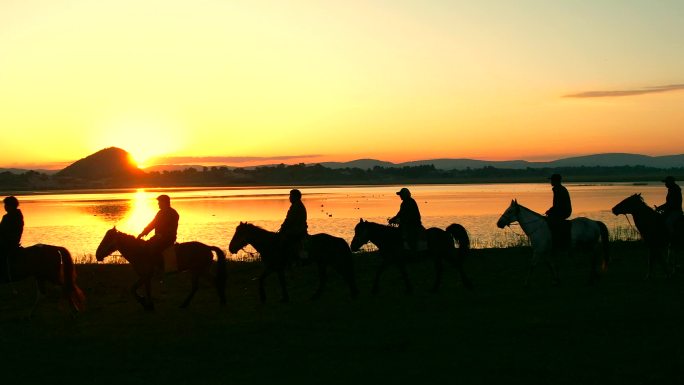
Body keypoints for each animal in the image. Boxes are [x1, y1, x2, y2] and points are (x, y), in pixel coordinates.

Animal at [95, 226, 227, 310]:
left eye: (107, 239)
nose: (97, 255)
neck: (139, 251)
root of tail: (207, 247)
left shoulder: (146, 275)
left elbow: (140, 290)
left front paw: (147, 304)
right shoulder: (144, 277)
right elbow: (136, 289)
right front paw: (146, 303)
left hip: (198, 271)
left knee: (203, 285)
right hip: (200, 271)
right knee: (209, 283)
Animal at [228, 224, 360, 302]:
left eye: (238, 234)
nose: (230, 248)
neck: (270, 244)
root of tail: (339, 240)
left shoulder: (277, 268)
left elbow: (281, 282)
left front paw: (284, 298)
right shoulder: (272, 267)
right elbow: (261, 279)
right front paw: (263, 297)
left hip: (335, 262)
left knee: (346, 275)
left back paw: (353, 294)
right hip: (322, 263)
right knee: (325, 280)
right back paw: (315, 297)